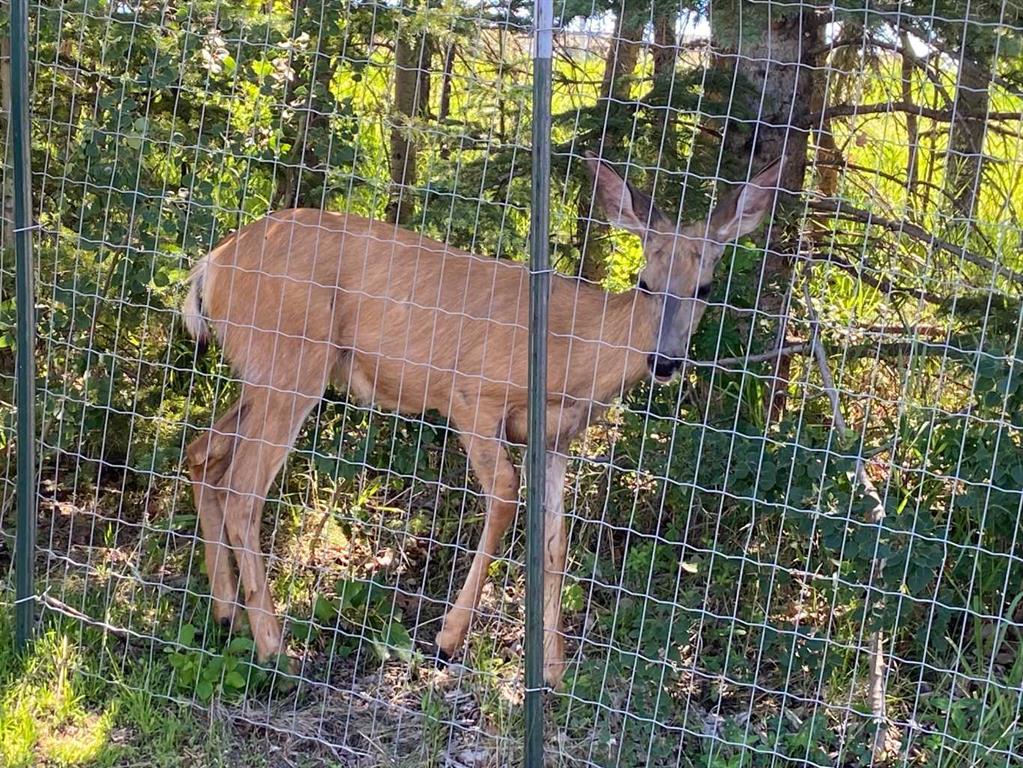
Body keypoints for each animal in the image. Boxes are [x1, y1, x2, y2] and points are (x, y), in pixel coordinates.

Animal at [180, 152, 782, 687]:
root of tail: (212, 266)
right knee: (243, 487)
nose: (665, 361)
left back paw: (227, 615)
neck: (570, 353)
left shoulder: (557, 438)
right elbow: (506, 496)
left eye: (704, 289)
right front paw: (447, 639)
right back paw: (275, 648)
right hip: (291, 361)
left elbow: (555, 542)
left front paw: (554, 672)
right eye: (645, 283)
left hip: (264, 373)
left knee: (204, 452)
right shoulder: (473, 396)